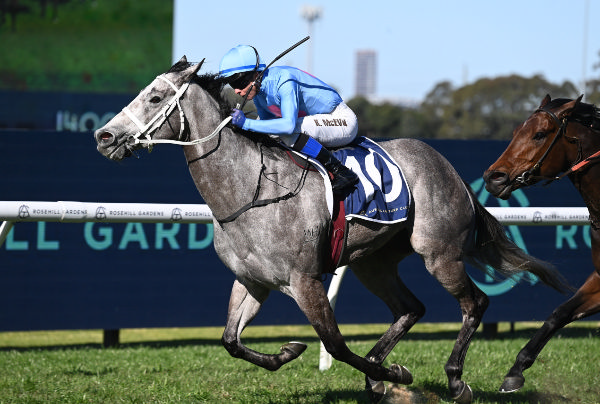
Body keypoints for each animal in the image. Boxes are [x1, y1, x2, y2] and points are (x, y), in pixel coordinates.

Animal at [92, 57, 568, 404]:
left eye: (154, 97)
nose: (103, 136)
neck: (249, 190)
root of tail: (449, 168)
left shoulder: (305, 281)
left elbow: (336, 345)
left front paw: (392, 373)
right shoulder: (252, 281)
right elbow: (230, 340)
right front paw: (291, 352)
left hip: (439, 253)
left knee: (475, 303)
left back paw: (453, 381)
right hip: (373, 264)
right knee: (411, 308)